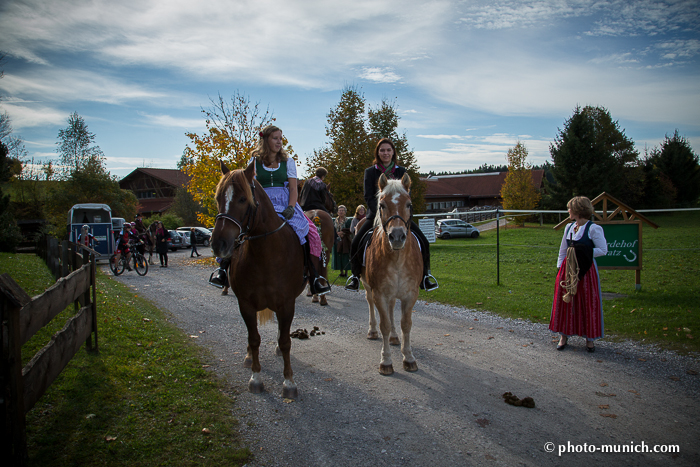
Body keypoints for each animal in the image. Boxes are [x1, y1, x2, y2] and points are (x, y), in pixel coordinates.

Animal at [209, 160, 304, 398]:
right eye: (218, 198)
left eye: (243, 199)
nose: (218, 243)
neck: (266, 254)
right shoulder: (245, 304)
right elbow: (253, 338)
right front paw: (256, 378)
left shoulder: (287, 303)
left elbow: (286, 340)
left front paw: (289, 382)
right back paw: (248, 356)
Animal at [360, 174, 422, 374]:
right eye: (382, 205)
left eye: (409, 204)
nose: (397, 236)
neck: (397, 258)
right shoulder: (379, 293)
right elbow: (384, 325)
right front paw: (386, 361)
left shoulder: (410, 294)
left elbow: (406, 324)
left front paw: (409, 357)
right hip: (368, 286)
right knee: (370, 303)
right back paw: (372, 331)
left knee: (392, 307)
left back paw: (395, 337)